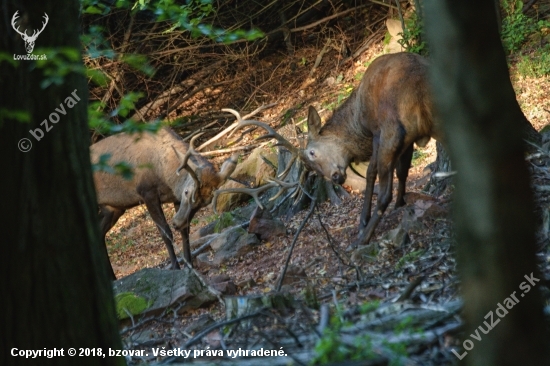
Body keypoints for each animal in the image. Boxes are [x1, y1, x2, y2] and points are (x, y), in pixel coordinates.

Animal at [91, 127, 237, 278]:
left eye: (205, 203)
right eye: (186, 192)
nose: (177, 223)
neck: (165, 174)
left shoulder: (175, 199)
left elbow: (185, 232)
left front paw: (189, 266)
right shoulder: (147, 193)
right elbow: (165, 232)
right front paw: (176, 267)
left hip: (113, 209)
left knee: (99, 235)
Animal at [304, 52, 442, 249]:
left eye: (312, 153)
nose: (335, 178)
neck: (358, 120)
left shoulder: (377, 133)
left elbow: (370, 173)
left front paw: (363, 220)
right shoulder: (409, 140)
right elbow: (403, 171)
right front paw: (401, 203)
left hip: (390, 133)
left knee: (384, 194)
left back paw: (363, 237)